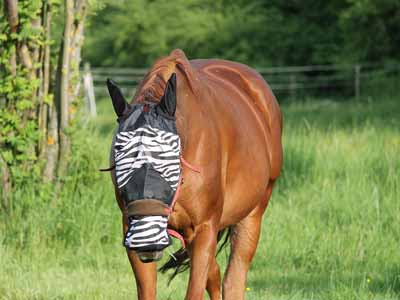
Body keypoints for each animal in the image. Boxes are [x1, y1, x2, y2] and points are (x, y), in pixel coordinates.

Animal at [106, 49, 282, 300]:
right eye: (118, 152)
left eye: (171, 152)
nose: (147, 239)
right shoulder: (132, 232)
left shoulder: (204, 229)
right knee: (215, 274)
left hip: (252, 214)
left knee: (234, 279)